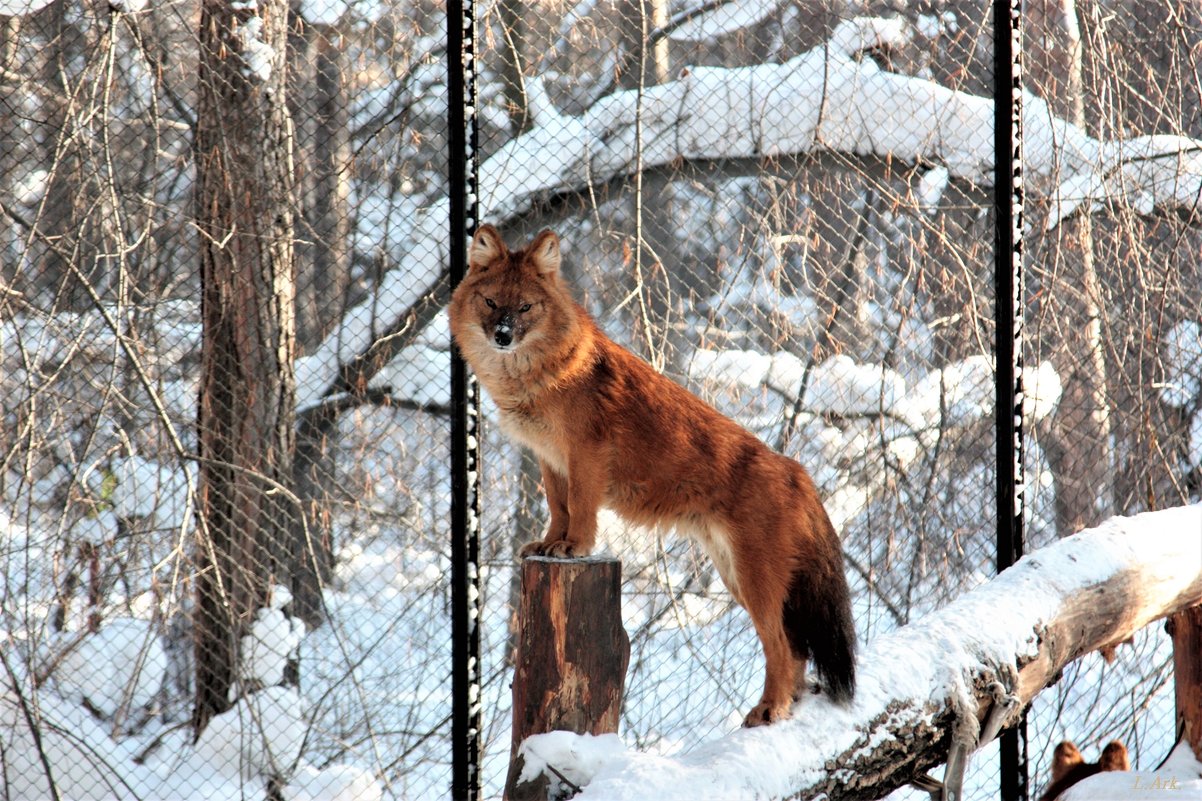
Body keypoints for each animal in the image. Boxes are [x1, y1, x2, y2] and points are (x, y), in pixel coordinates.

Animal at [449, 222, 855, 721]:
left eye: (525, 307)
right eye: (491, 303)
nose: (503, 335)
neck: (534, 378)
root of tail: (797, 471)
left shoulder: (586, 454)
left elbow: (580, 507)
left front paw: (574, 547)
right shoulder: (549, 458)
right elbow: (557, 507)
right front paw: (549, 543)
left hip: (756, 582)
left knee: (782, 646)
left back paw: (769, 710)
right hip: (735, 577)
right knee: (795, 649)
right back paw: (785, 705)